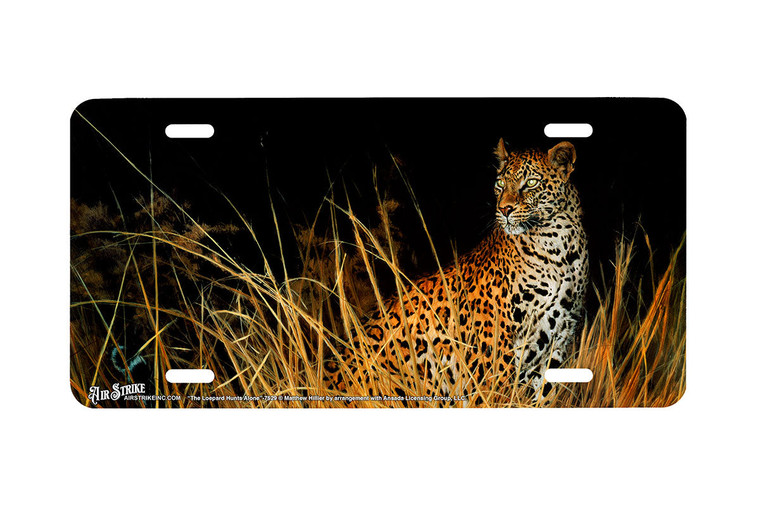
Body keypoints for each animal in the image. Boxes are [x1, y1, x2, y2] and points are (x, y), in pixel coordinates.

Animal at [324, 140, 589, 406]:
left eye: (531, 183)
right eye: (500, 184)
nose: (504, 209)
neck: (558, 251)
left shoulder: (559, 340)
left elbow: (544, 396)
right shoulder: (493, 344)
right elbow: (494, 396)